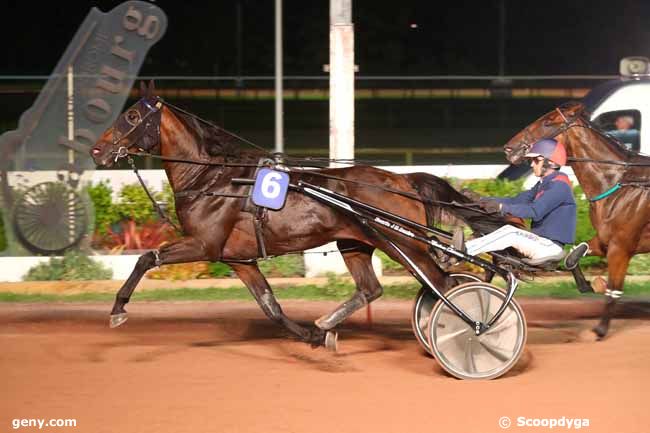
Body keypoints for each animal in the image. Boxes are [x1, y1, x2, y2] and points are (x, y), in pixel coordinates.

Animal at [90, 82, 506, 350]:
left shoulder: (204, 245)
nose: (96, 150)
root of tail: (401, 178)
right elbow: (270, 306)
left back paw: (473, 328)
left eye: (131, 116)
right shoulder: (238, 258)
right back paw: (328, 323)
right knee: (373, 289)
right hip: (355, 243)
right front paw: (313, 336)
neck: (211, 178)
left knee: (445, 286)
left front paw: (117, 310)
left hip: (404, 244)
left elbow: (146, 258)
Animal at [502, 101, 648, 338]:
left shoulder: (621, 246)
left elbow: (614, 289)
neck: (619, 181)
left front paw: (600, 329)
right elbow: (573, 257)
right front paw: (589, 284)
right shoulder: (605, 241)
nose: (509, 148)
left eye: (547, 122)